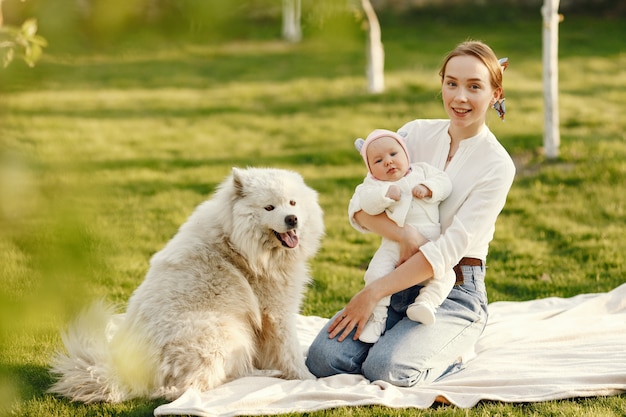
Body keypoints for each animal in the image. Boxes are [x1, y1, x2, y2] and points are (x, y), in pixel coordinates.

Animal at [47, 167, 326, 404]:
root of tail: (125, 371)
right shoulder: (277, 312)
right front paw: (308, 379)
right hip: (221, 332)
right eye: (269, 207)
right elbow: (289, 352)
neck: (237, 242)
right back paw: (265, 375)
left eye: (292, 203)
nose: (292, 219)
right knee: (191, 387)